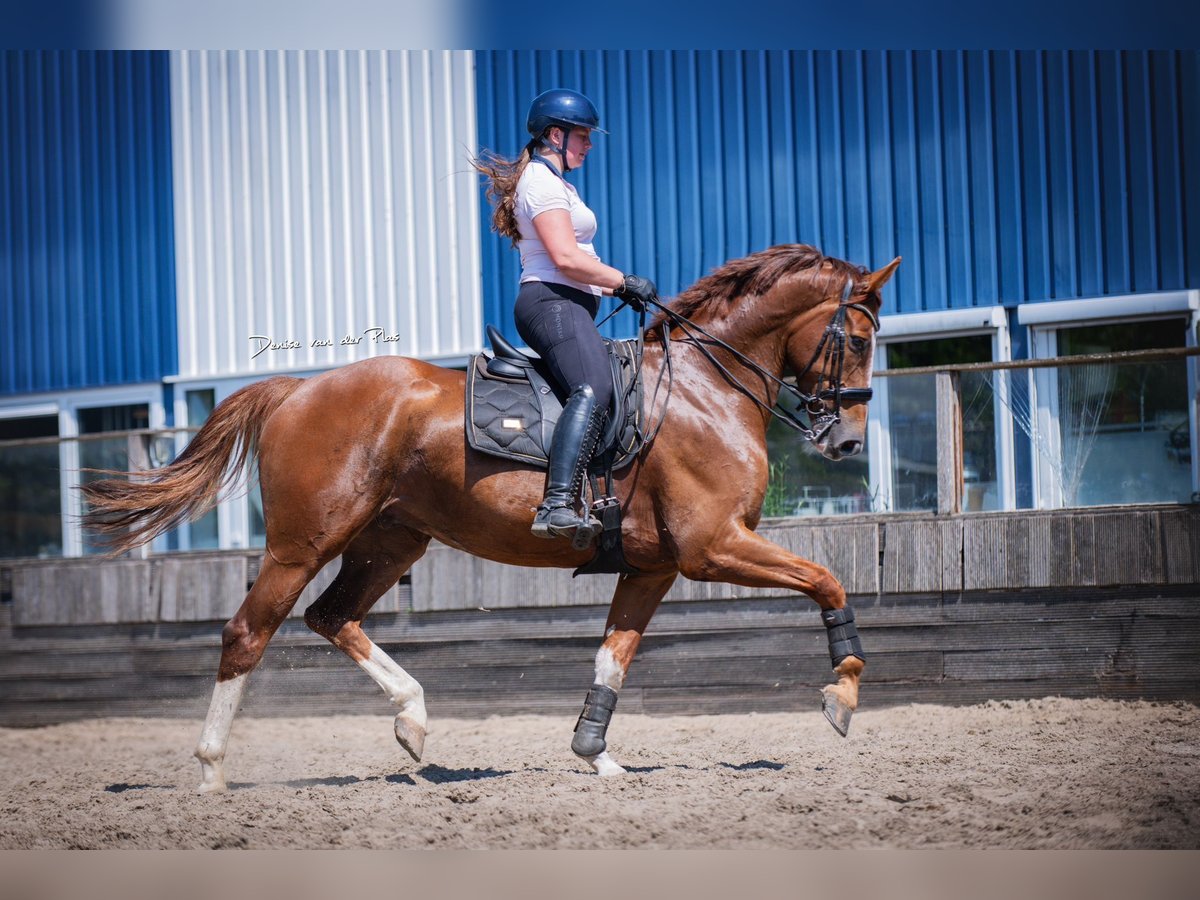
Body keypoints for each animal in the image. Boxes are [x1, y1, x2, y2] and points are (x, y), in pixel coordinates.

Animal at [84, 243, 902, 792]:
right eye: (860, 340)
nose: (846, 440)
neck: (706, 386)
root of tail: (294, 390)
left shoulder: (654, 566)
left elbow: (613, 657)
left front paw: (595, 754)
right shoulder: (714, 547)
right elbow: (828, 582)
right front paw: (843, 694)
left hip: (391, 542)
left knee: (331, 617)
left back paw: (412, 720)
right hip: (302, 543)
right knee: (248, 634)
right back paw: (212, 771)